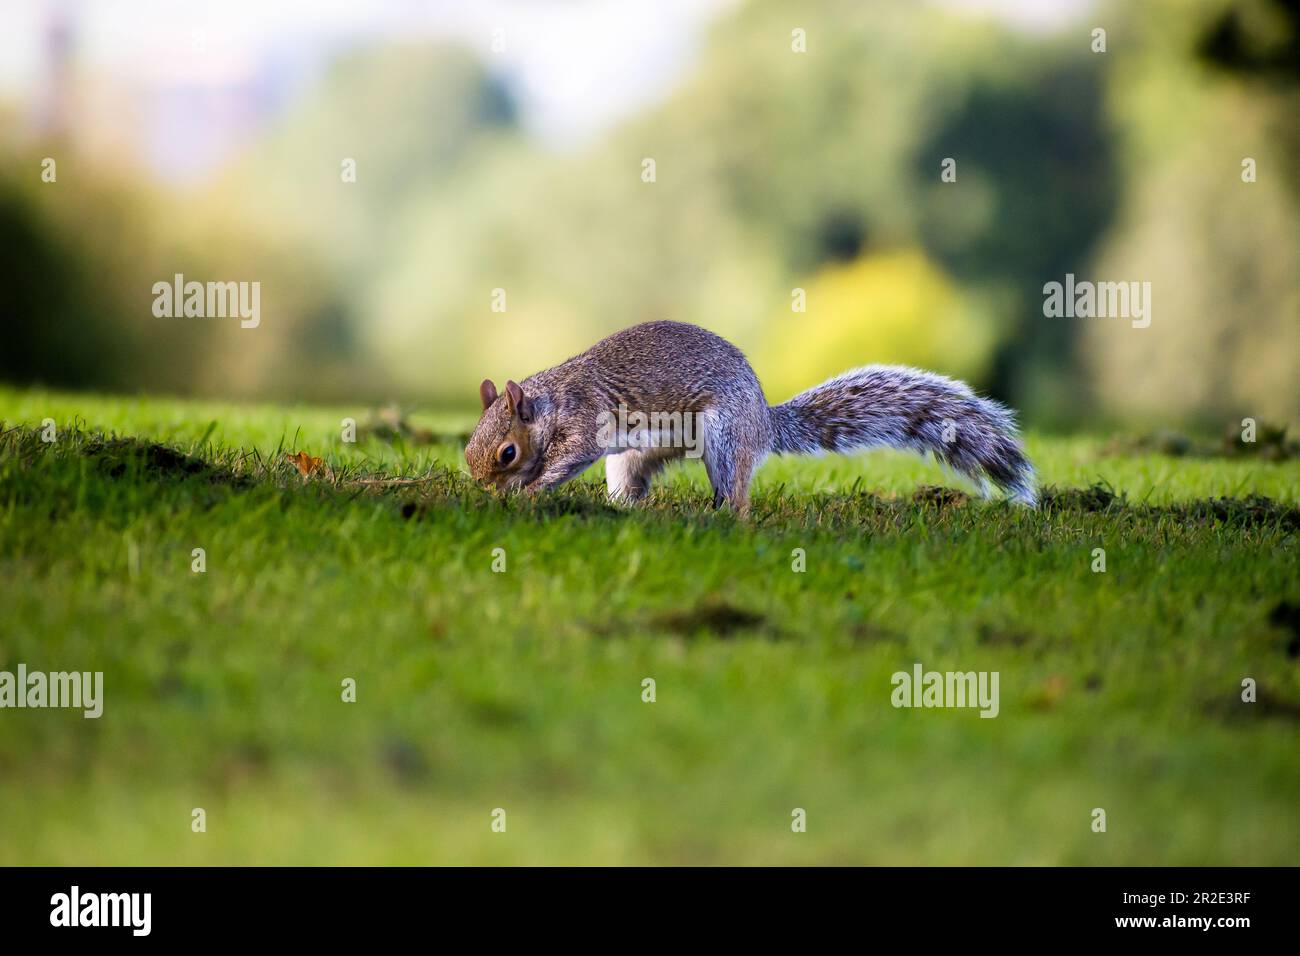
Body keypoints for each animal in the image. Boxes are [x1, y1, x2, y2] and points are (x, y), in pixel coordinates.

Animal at [465, 320, 1036, 511]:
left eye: (507, 452)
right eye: (469, 448)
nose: (485, 493)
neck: (552, 399)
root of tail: (763, 420)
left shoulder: (586, 419)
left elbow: (568, 456)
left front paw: (528, 490)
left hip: (723, 437)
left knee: (737, 495)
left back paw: (723, 514)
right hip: (635, 456)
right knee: (632, 483)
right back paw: (627, 508)